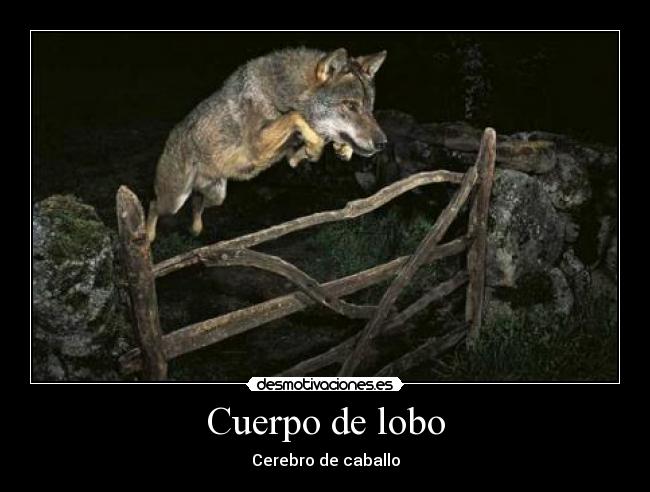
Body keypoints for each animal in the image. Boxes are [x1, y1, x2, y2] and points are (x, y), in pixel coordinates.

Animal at [146, 47, 388, 242]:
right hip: (174, 201)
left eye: (369, 108)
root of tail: (171, 138)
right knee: (154, 204)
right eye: (350, 105)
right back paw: (147, 236)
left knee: (197, 204)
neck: (284, 93)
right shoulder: (258, 145)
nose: (383, 143)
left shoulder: (288, 152)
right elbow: (295, 117)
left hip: (217, 196)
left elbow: (306, 144)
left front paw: (340, 149)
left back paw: (195, 229)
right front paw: (317, 147)